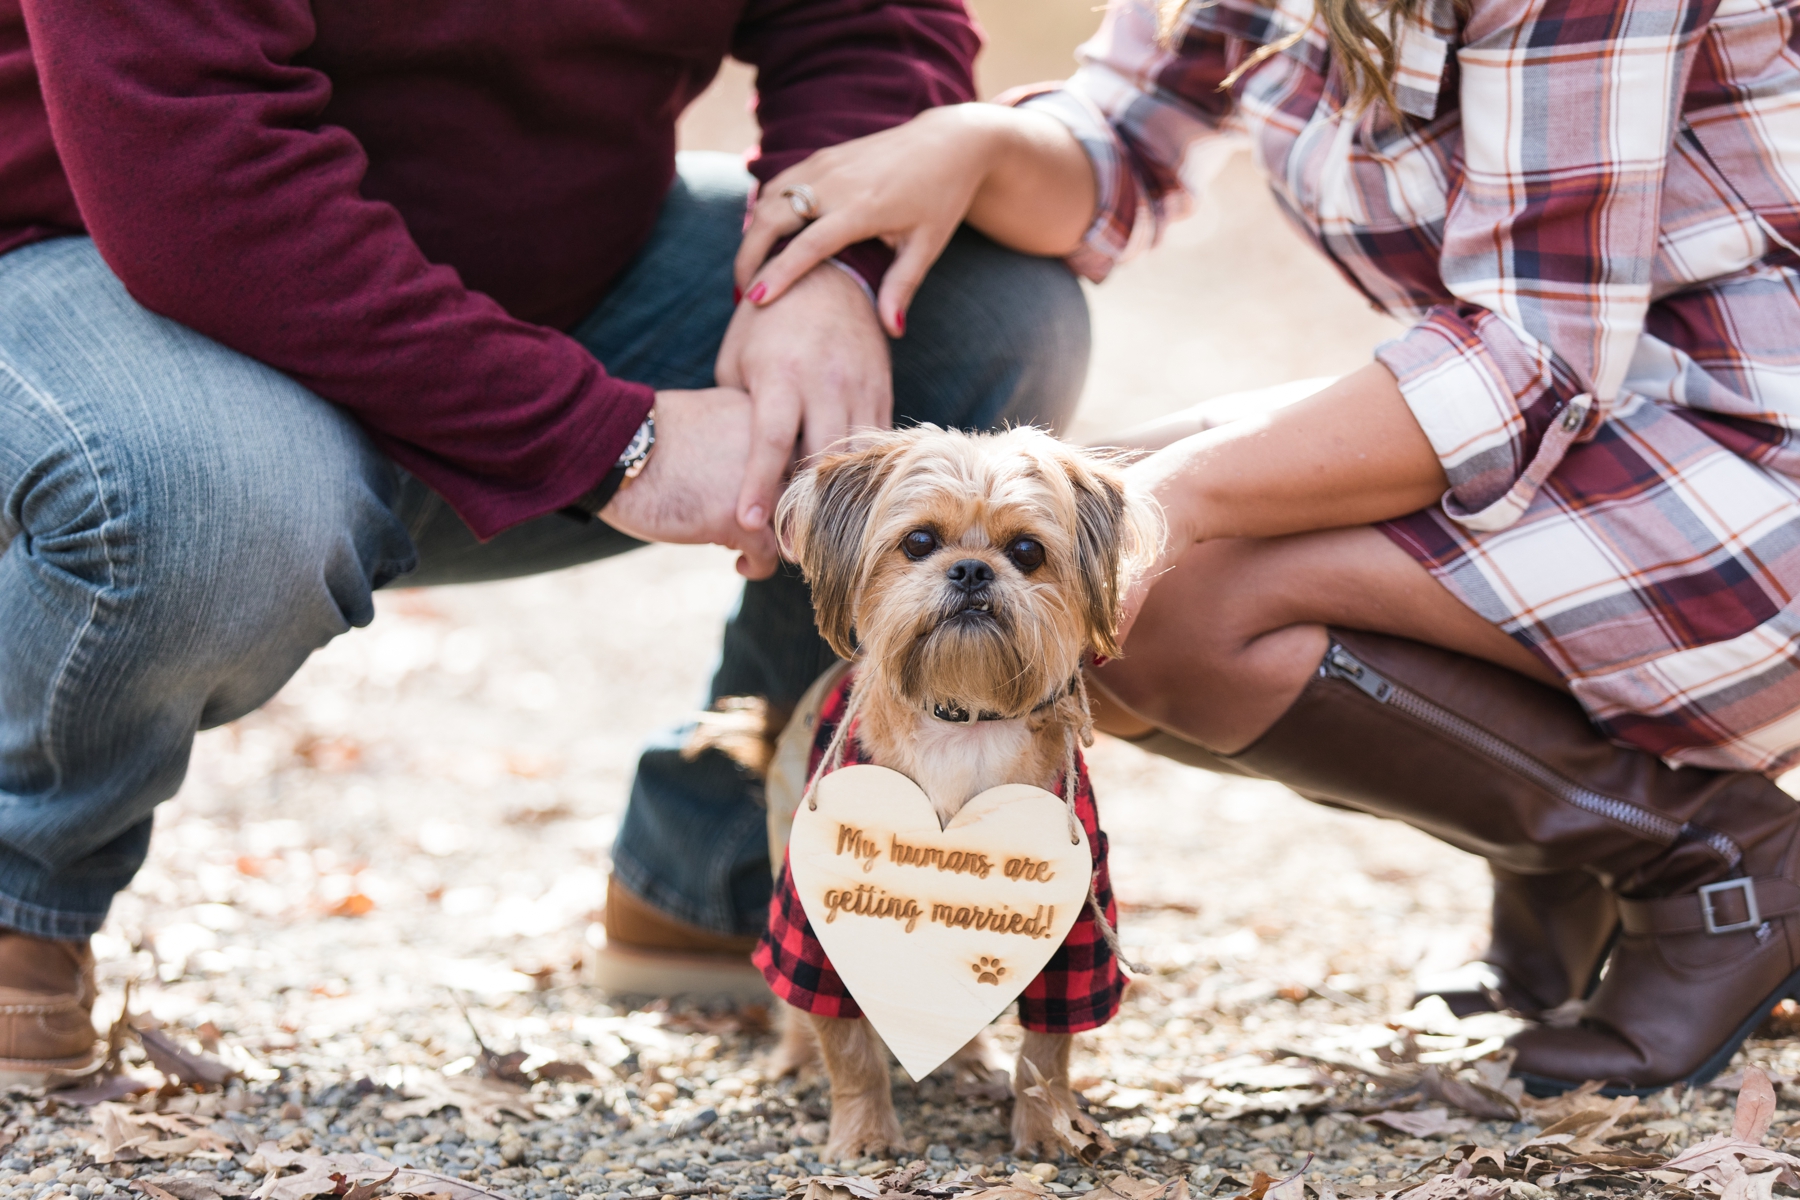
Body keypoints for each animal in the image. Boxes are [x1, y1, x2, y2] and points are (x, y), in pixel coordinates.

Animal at [752, 424, 1159, 1165]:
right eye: (918, 542)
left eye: (1026, 552)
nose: (971, 570)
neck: (964, 721)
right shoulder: (814, 920)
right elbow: (845, 1042)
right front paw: (864, 1133)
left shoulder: (1076, 925)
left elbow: (1048, 1051)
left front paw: (1047, 1128)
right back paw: (796, 1057)